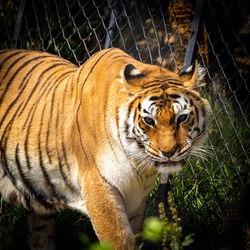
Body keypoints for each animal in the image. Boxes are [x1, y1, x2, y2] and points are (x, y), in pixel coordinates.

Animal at [0, 47, 211, 250]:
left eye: (182, 117)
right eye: (149, 120)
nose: (168, 152)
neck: (137, 162)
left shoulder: (136, 200)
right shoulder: (98, 186)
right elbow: (119, 240)